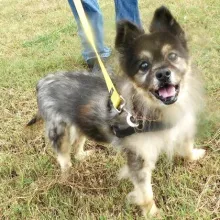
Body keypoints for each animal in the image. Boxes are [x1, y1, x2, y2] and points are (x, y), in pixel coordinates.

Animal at [28, 6, 205, 216]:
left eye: (172, 56)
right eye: (143, 65)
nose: (162, 74)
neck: (157, 108)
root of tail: (42, 82)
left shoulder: (183, 128)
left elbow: (187, 147)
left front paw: (194, 156)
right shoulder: (139, 159)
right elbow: (146, 193)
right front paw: (152, 213)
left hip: (82, 121)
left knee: (78, 141)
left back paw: (81, 156)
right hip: (59, 131)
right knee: (64, 157)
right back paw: (67, 177)